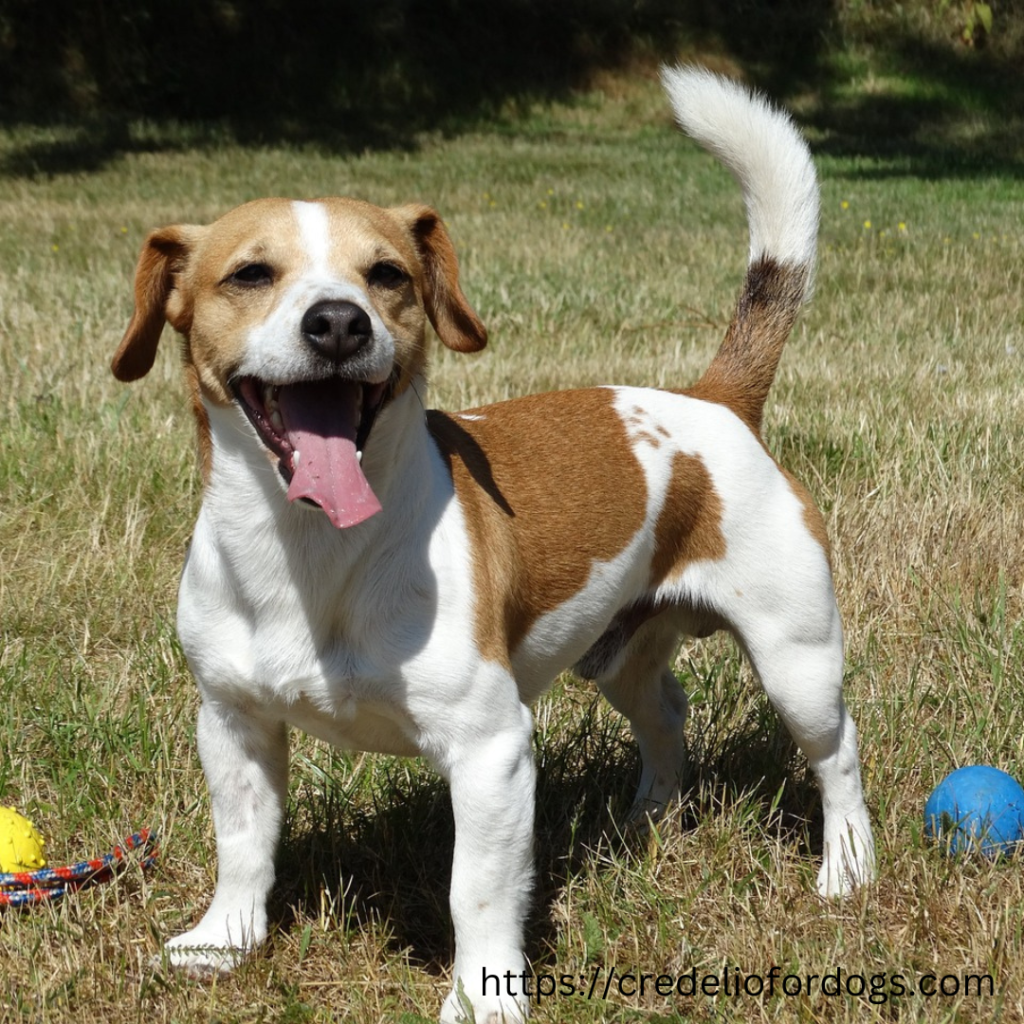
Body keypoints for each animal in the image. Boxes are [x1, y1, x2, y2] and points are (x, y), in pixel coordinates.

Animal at [116, 68, 876, 1019]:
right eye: (250, 273)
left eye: (388, 275)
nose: (339, 322)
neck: (311, 551)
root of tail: (717, 400)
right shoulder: (232, 722)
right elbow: (244, 843)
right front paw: (224, 940)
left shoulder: (490, 752)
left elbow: (474, 891)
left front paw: (484, 997)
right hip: (620, 656)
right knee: (666, 716)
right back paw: (644, 822)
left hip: (797, 660)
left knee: (838, 756)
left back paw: (847, 871)